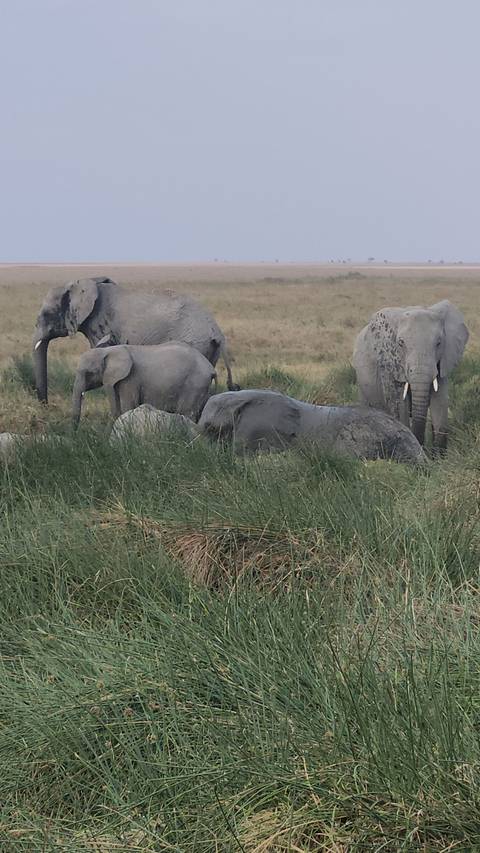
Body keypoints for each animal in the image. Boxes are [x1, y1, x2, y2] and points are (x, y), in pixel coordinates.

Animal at [33, 276, 238, 403]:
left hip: (197, 343)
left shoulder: (100, 323)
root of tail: (217, 332)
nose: (45, 405)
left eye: (47, 314)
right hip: (210, 349)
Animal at [72, 341, 216, 428]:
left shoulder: (130, 379)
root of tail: (211, 368)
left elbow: (128, 406)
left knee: (187, 412)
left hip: (195, 385)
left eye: (88, 373)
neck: (107, 350)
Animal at [353, 300, 468, 450]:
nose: (422, 446)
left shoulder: (443, 361)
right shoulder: (389, 363)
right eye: (401, 343)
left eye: (438, 343)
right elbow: (400, 404)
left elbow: (440, 401)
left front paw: (438, 455)